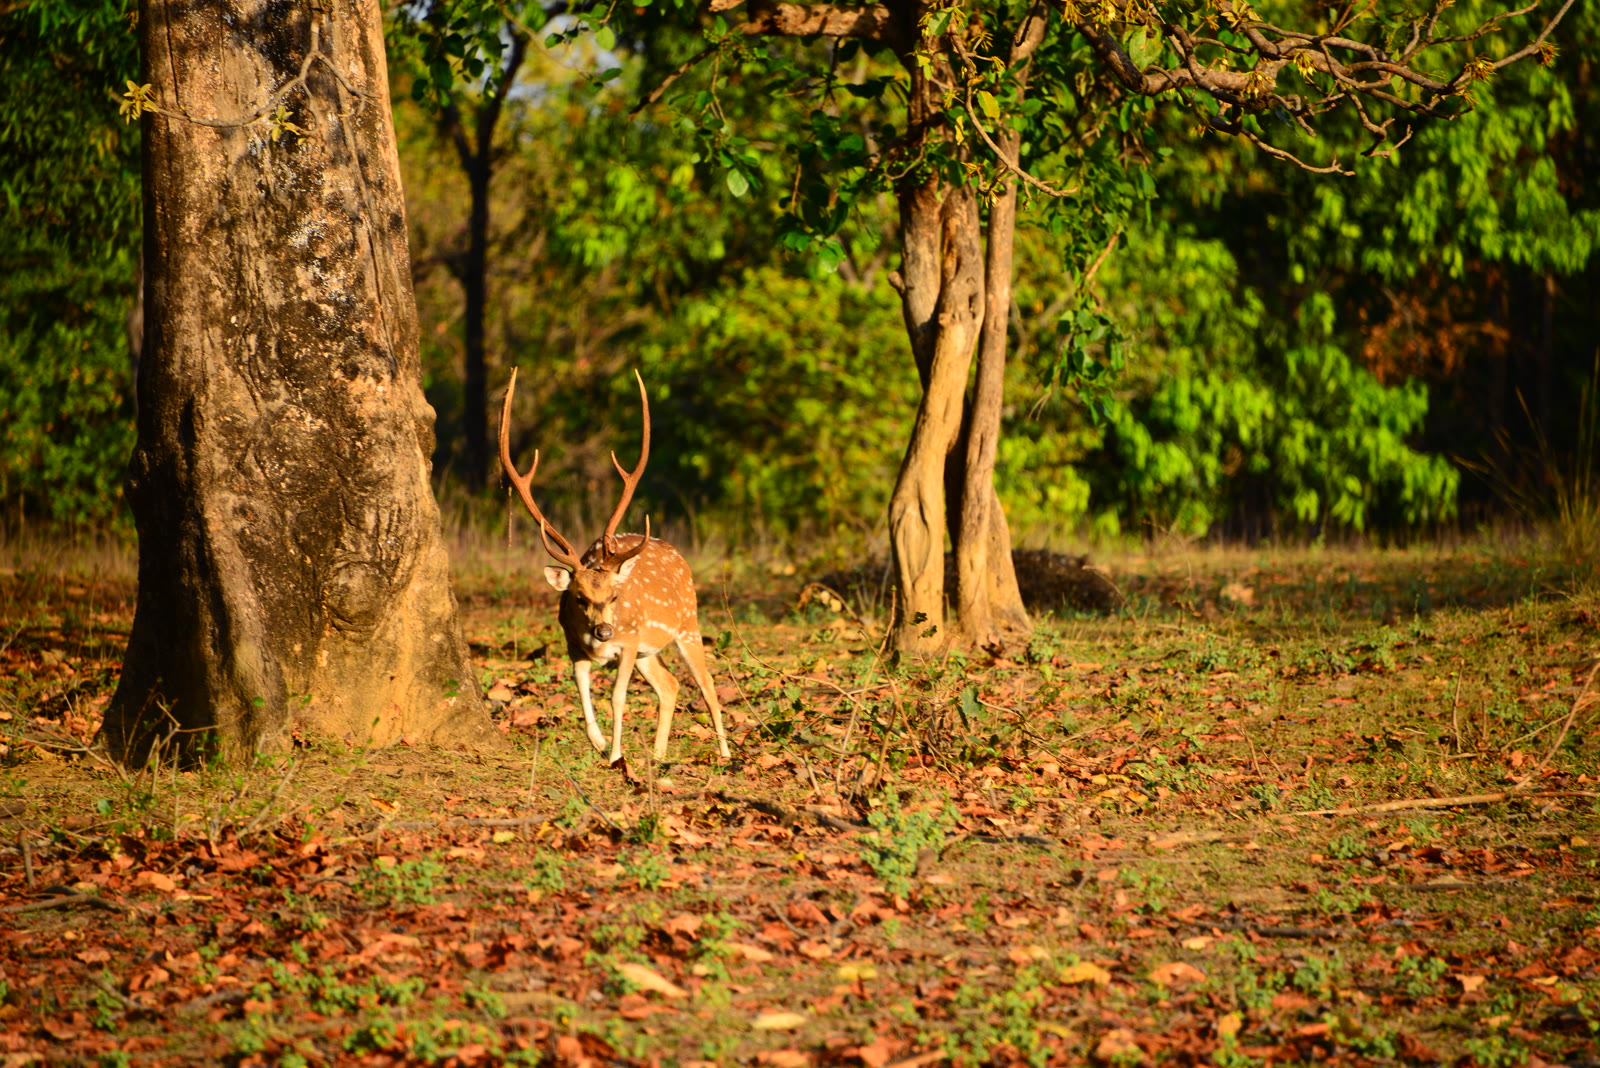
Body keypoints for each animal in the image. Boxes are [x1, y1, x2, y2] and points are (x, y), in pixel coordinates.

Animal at [498, 368, 731, 767]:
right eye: (577, 597)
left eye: (615, 596)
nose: (605, 631)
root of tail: (678, 555)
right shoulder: (575, 644)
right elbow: (581, 688)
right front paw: (599, 742)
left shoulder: (629, 641)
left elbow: (617, 696)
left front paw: (616, 755)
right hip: (649, 651)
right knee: (670, 684)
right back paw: (658, 754)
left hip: (687, 624)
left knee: (707, 684)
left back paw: (725, 753)